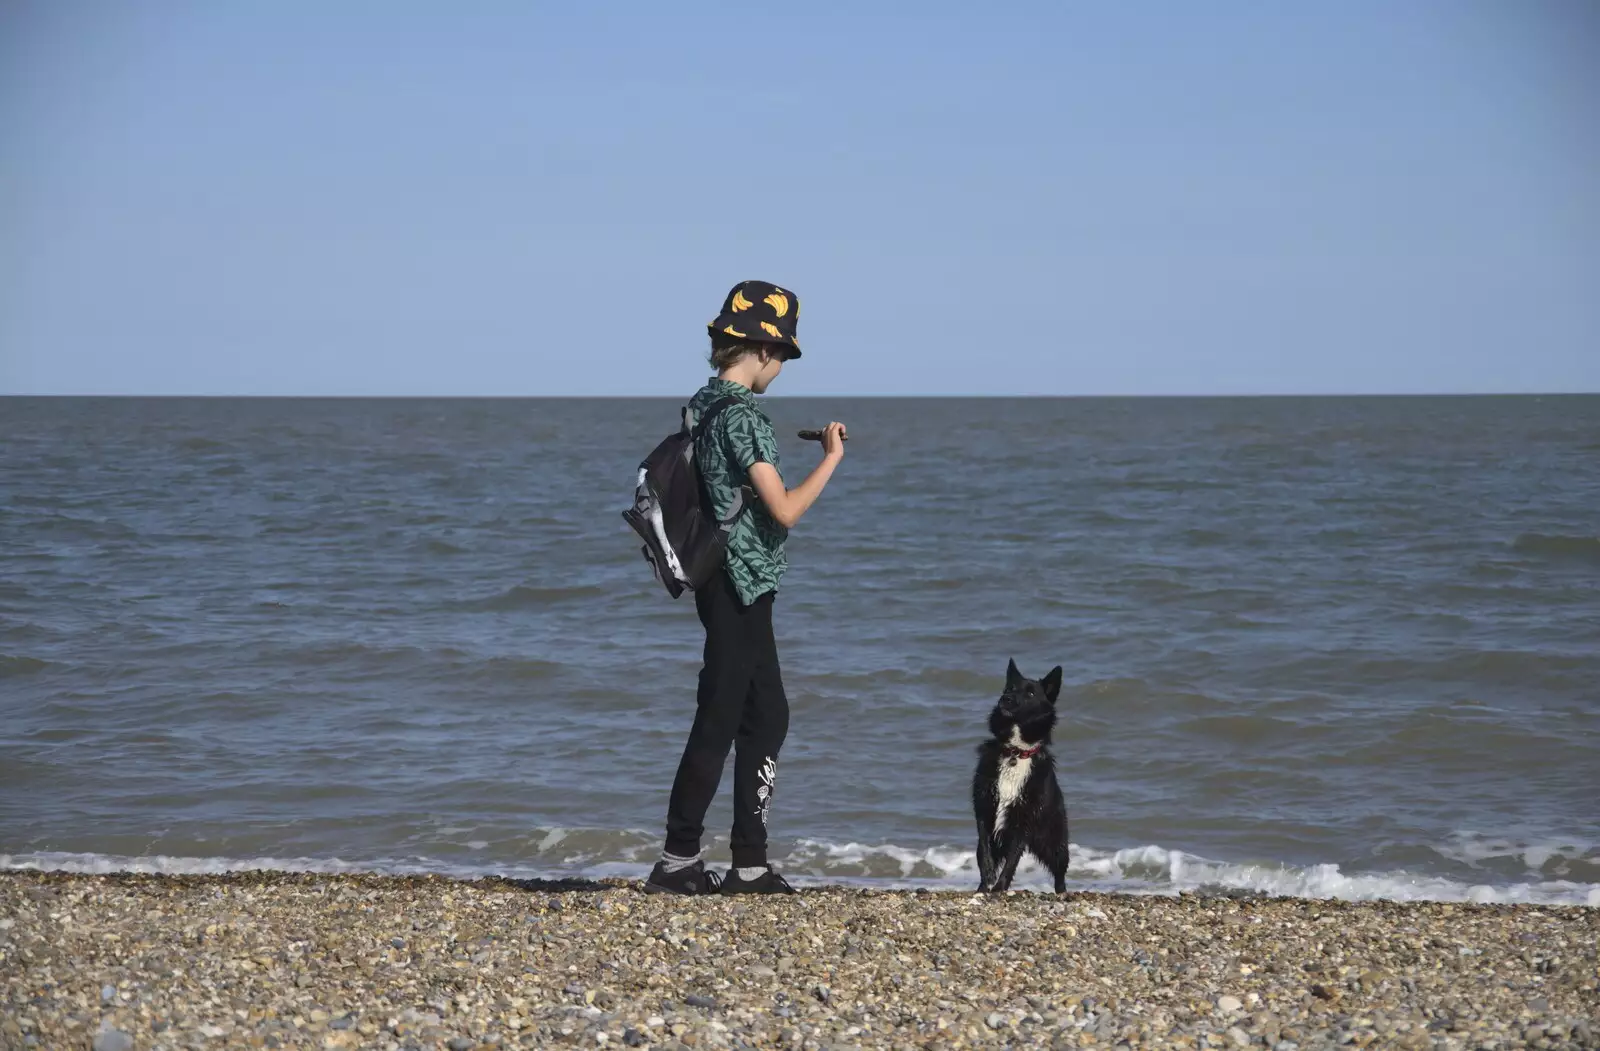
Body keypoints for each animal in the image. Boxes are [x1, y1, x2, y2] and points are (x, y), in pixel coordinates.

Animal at [966, 659, 1068, 889]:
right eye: (1010, 688)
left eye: (1030, 693)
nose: (1006, 699)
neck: (1016, 752)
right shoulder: (984, 809)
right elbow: (983, 853)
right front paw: (986, 885)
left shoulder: (1023, 820)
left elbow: (1012, 860)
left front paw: (999, 888)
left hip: (1054, 842)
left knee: (1060, 871)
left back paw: (1062, 892)